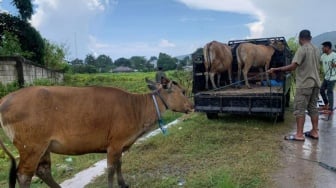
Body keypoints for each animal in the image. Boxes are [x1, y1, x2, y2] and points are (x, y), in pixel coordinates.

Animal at [0, 77, 193, 187]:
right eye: (183, 91)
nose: (192, 106)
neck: (136, 108)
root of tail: (5, 99)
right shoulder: (115, 143)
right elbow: (110, 168)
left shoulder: (119, 144)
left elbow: (119, 163)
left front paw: (123, 184)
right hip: (31, 146)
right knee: (24, 175)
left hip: (43, 147)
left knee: (43, 170)